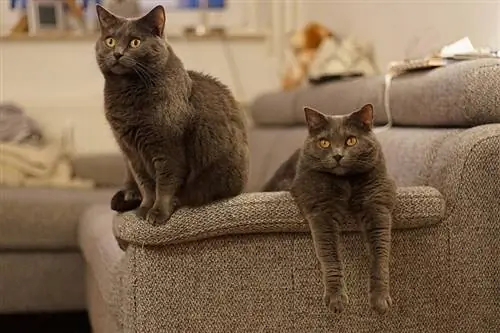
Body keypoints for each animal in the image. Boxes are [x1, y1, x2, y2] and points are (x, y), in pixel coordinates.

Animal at [94, 5, 249, 224]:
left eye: (135, 42)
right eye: (110, 41)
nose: (117, 53)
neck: (127, 96)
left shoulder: (168, 147)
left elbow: (165, 183)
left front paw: (158, 213)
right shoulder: (131, 152)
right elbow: (146, 184)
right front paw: (144, 209)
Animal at [264, 104, 396, 314]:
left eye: (351, 140)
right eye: (324, 143)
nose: (337, 155)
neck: (346, 182)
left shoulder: (377, 203)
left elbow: (380, 253)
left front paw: (380, 299)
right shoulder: (321, 208)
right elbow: (330, 253)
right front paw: (336, 299)